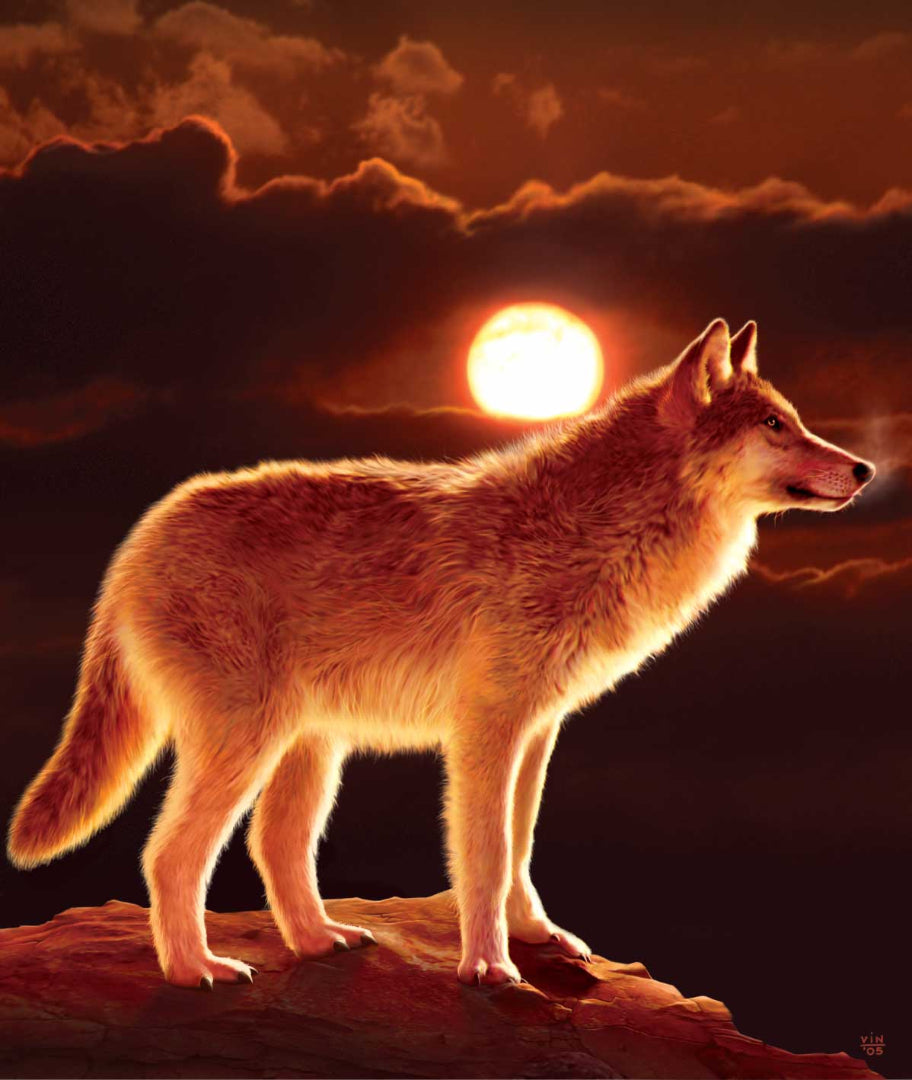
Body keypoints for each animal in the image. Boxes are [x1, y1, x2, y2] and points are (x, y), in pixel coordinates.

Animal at [8, 319, 874, 988]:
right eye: (774, 426)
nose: (866, 468)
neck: (599, 526)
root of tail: (138, 540)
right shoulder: (487, 729)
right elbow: (484, 855)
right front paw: (488, 968)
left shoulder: (538, 730)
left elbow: (521, 847)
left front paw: (536, 937)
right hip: (247, 742)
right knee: (170, 855)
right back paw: (196, 972)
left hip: (309, 748)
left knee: (274, 845)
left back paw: (319, 942)